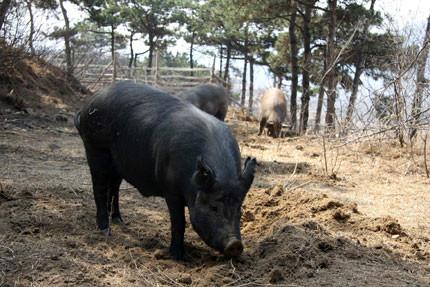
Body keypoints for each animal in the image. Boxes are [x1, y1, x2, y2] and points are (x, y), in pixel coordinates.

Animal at [74, 81, 256, 260]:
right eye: (213, 207)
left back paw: (119, 220)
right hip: (95, 147)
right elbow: (179, 222)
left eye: (239, 209)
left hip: (117, 162)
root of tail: (88, 104)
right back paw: (105, 230)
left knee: (114, 187)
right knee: (99, 186)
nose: (235, 245)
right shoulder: (170, 189)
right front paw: (177, 257)